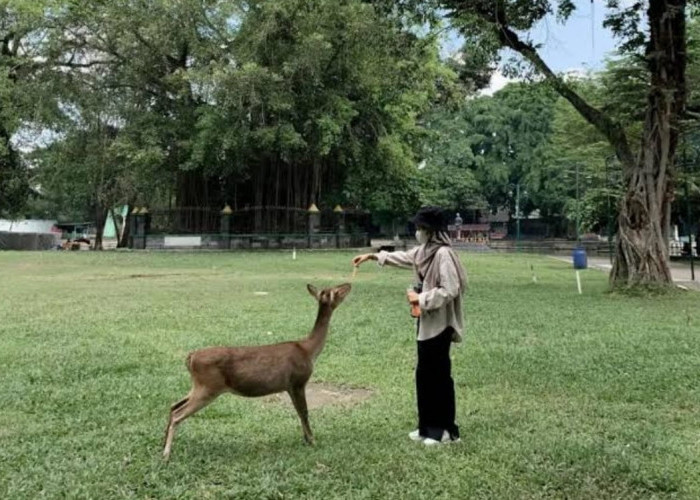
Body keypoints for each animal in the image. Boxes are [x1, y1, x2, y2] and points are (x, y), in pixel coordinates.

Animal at [162, 284, 352, 458]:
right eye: (336, 290)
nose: (348, 285)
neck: (309, 351)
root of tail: (191, 357)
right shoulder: (298, 380)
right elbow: (304, 412)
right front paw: (312, 441)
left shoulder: (289, 386)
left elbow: (299, 412)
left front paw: (306, 439)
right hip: (208, 386)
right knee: (178, 413)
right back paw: (166, 454)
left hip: (198, 385)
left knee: (173, 405)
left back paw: (163, 444)